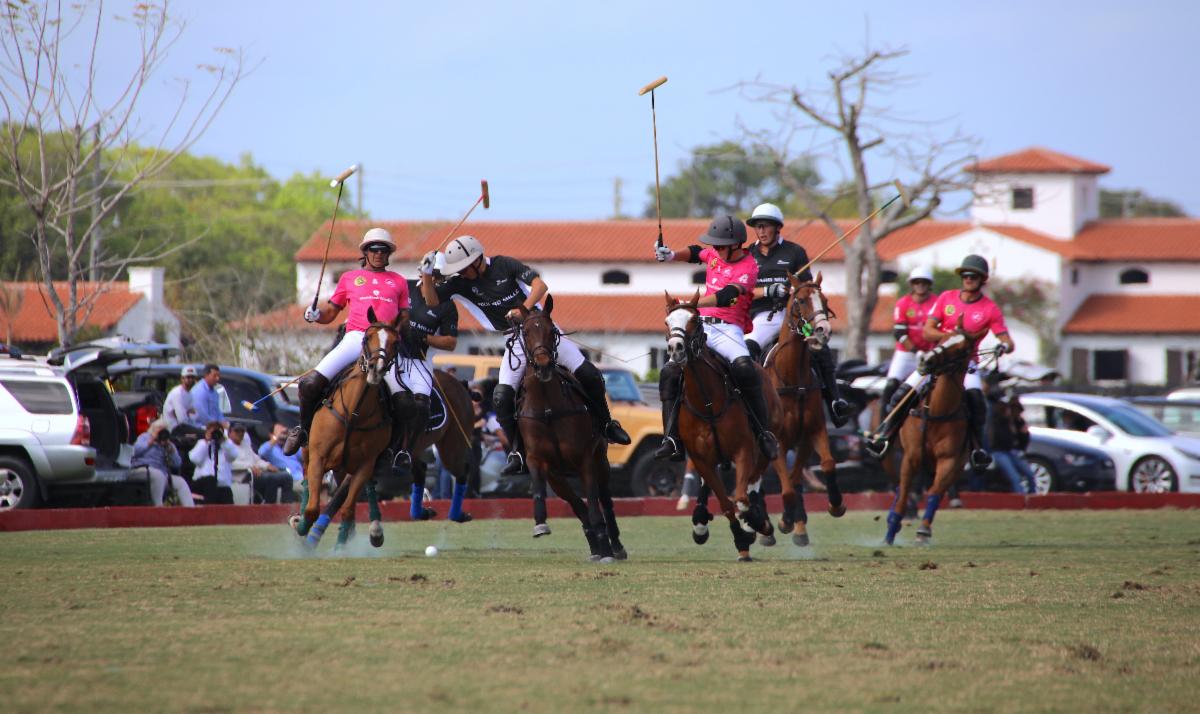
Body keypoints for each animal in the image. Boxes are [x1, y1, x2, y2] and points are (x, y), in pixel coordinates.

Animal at [293, 307, 400, 550]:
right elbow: (313, 508)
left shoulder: (365, 464)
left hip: (351, 466)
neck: (353, 412)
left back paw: (372, 532)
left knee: (365, 488)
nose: (376, 369)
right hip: (308, 451)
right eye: (367, 337)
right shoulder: (319, 456)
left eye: (395, 342)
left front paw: (343, 542)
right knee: (306, 481)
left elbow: (348, 508)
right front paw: (301, 526)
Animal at [510, 295, 626, 562]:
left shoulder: (585, 459)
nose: (543, 365)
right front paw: (540, 523)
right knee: (579, 505)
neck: (548, 408)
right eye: (526, 332)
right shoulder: (538, 460)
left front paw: (606, 549)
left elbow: (594, 503)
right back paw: (596, 545)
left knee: (605, 500)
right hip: (559, 476)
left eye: (552, 331)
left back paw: (614, 545)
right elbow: (543, 489)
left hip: (601, 460)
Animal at [664, 291, 782, 562]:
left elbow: (740, 498)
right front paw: (741, 540)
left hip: (764, 443)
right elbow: (726, 504)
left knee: (755, 476)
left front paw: (755, 524)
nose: (675, 349)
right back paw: (701, 522)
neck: (707, 401)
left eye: (694, 320)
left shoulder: (743, 450)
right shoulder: (700, 458)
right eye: (667, 322)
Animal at [762, 272, 846, 546]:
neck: (793, 379)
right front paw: (784, 521)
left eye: (825, 300)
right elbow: (787, 487)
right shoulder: (776, 441)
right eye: (799, 300)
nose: (822, 332)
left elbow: (823, 465)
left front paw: (836, 505)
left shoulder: (812, 433)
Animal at [883, 320, 985, 545]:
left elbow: (934, 493)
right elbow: (904, 492)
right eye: (941, 339)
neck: (937, 411)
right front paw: (891, 530)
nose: (926, 361)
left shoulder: (949, 459)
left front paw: (923, 532)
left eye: (962, 349)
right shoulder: (911, 455)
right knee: (900, 488)